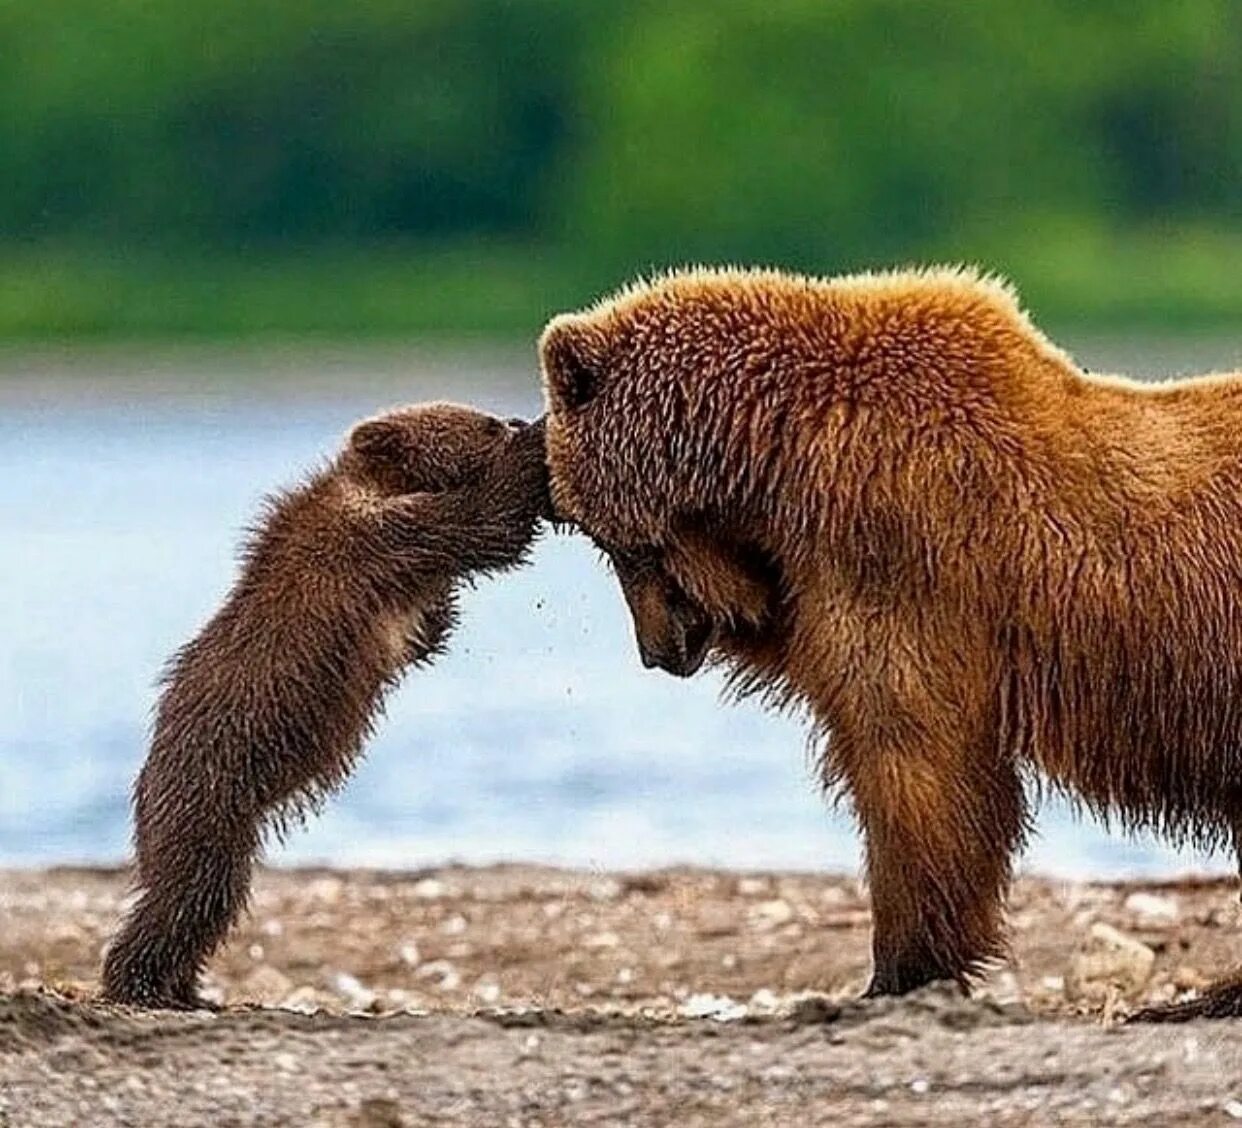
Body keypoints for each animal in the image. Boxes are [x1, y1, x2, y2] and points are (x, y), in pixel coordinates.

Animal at [539, 267, 1242, 1023]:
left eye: (609, 542)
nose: (660, 650)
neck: (774, 451)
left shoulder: (899, 549)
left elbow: (914, 763)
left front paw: (897, 972)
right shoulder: (817, 573)